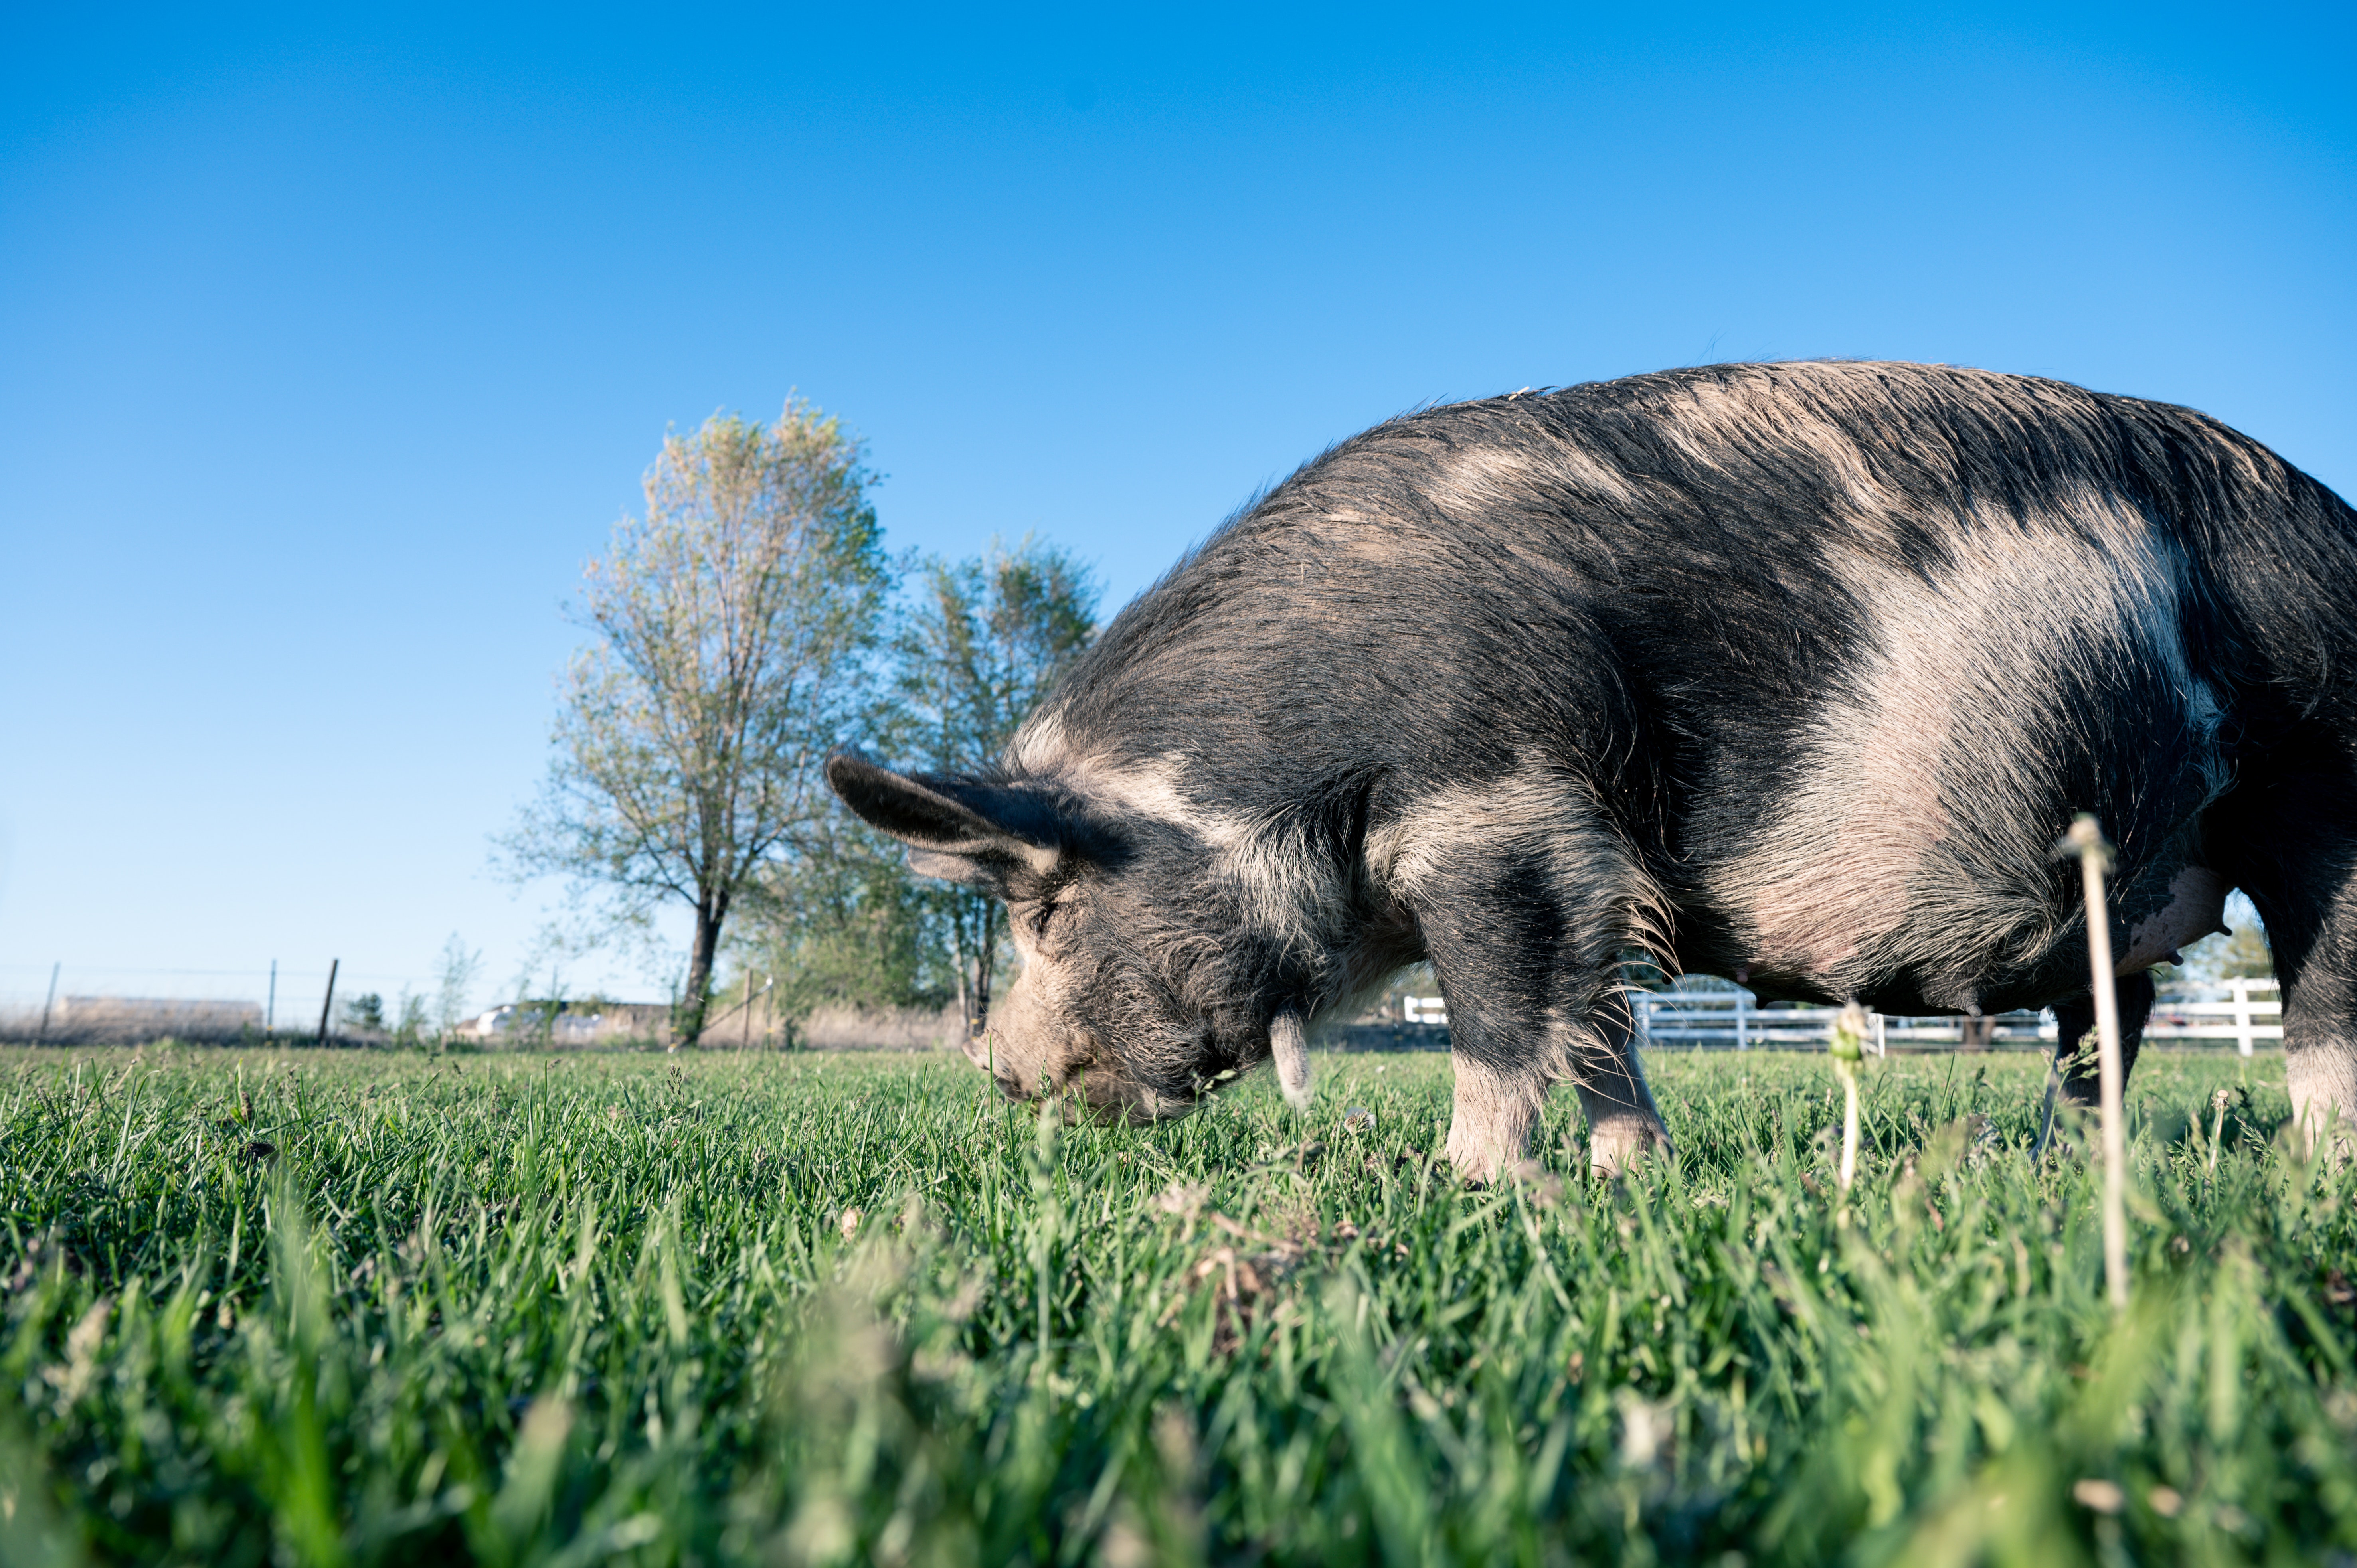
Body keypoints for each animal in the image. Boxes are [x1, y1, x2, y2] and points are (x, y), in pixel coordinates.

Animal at [829, 363, 2357, 1174]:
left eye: (1044, 907)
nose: (999, 1066)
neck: (1296, 766)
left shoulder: (1500, 814)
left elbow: (1503, 1019)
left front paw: (1470, 1189)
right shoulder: (1591, 864)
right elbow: (1599, 1027)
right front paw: (1635, 1179)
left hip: (2321, 776)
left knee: (2317, 986)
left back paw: (2312, 1164)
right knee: (2118, 1008)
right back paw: (2054, 1161)